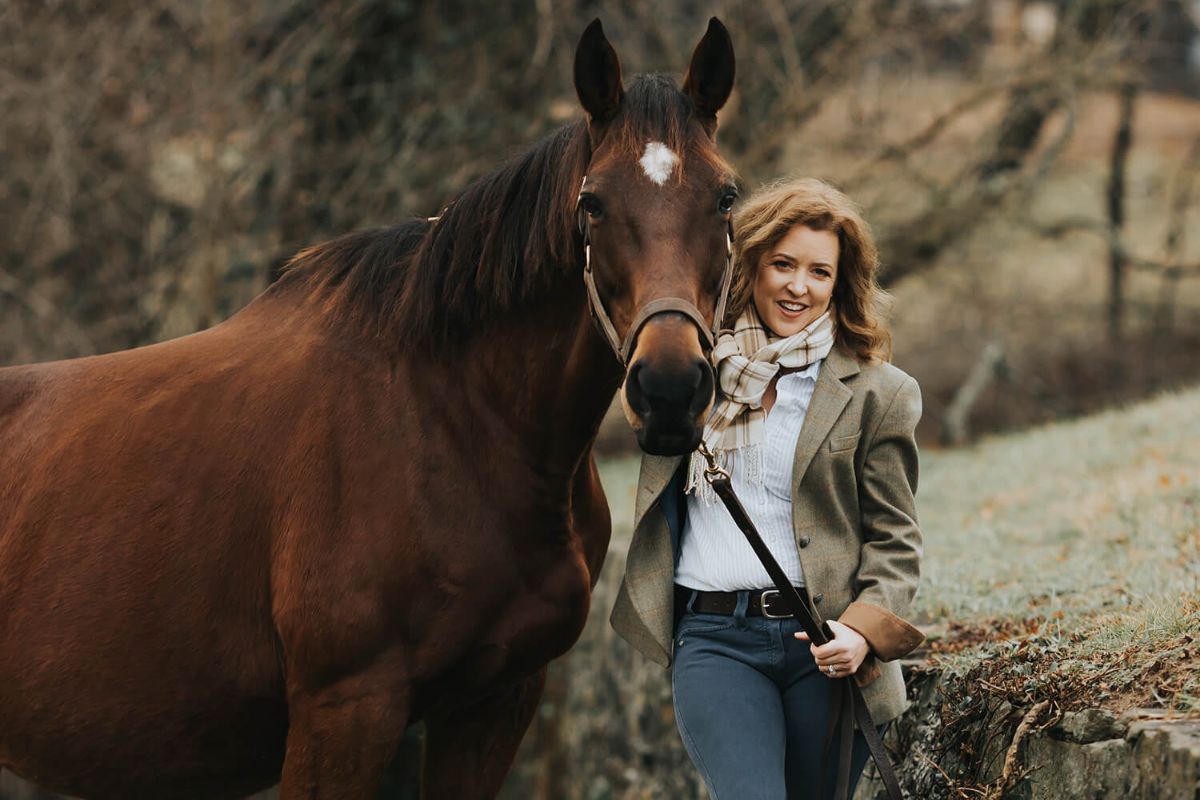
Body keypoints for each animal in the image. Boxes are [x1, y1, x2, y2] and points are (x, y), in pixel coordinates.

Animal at [0, 18, 737, 800]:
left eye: (725, 196)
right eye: (592, 203)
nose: (668, 388)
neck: (454, 421)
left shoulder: (495, 703)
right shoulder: (346, 711)